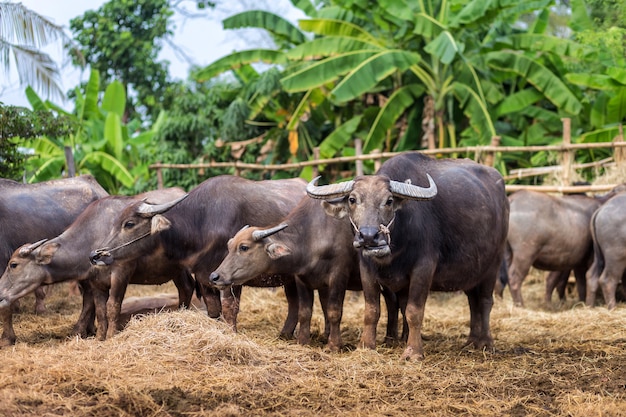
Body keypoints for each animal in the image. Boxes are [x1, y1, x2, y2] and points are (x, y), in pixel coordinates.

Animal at [0, 174, 108, 346]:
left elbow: (4, 303)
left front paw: (7, 339)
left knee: (89, 295)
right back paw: (88, 329)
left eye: (14, 264)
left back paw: (81, 330)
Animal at [0, 188, 195, 342]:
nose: (0, 291)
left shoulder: (121, 272)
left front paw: (110, 335)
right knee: (186, 287)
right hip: (177, 269)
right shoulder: (95, 281)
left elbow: (112, 306)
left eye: (13, 264)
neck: (93, 236)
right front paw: (100, 337)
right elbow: (100, 310)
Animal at [90, 174, 308, 336]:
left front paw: (232, 334)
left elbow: (230, 309)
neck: (201, 222)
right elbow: (213, 310)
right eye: (114, 223)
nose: (96, 255)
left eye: (129, 224)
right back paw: (285, 334)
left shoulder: (230, 277)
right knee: (294, 303)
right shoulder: (205, 277)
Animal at [205, 197, 400, 350]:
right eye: (229, 245)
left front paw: (334, 345)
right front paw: (303, 341)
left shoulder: (338, 277)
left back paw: (393, 340)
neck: (312, 237)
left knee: (393, 303)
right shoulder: (301, 279)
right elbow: (304, 312)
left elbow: (334, 311)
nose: (215, 276)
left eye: (244, 247)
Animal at [306, 151, 508, 360]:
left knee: (485, 301)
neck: (396, 250)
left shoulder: (424, 268)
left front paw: (413, 352)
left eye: (389, 201)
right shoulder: (367, 268)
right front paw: (366, 346)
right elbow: (372, 310)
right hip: (472, 272)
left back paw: (485, 343)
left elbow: (413, 311)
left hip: (494, 263)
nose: (369, 236)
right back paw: (471, 341)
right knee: (472, 301)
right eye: (352, 200)